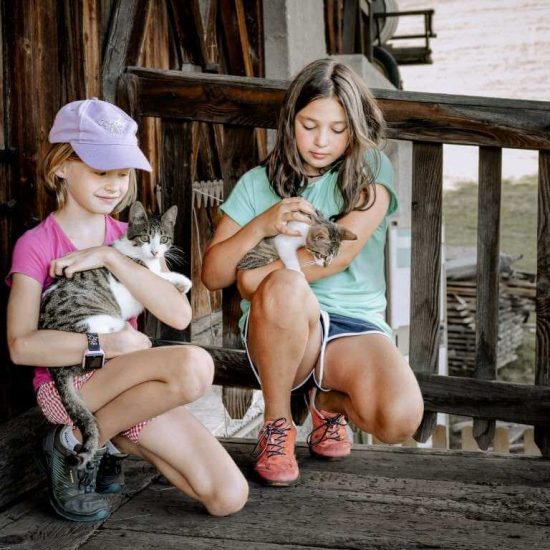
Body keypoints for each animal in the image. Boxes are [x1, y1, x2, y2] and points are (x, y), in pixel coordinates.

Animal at [37, 203, 191, 470]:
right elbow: (156, 277)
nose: (154, 251)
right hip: (102, 323)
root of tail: (57, 370)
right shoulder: (137, 275)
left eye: (163, 239)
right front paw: (181, 281)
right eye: (145, 237)